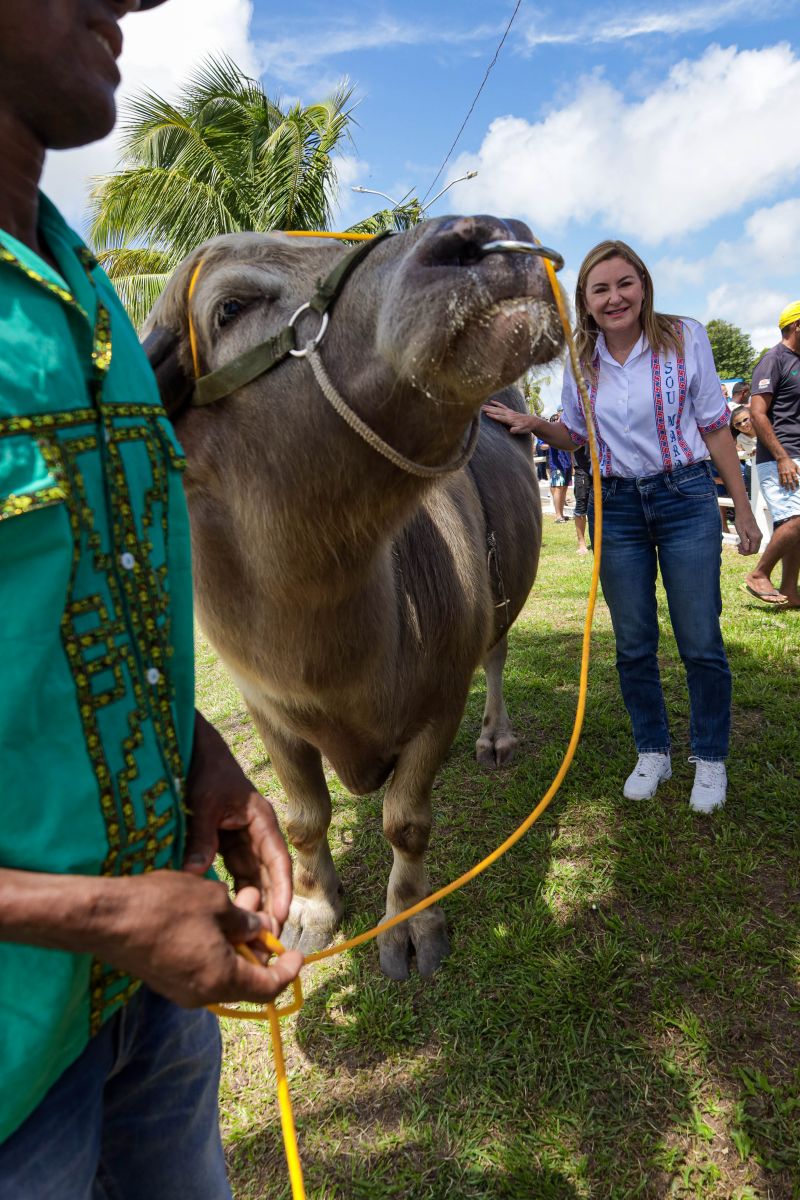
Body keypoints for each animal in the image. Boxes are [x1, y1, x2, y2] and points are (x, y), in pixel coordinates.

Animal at [145, 216, 563, 979]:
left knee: (496, 657)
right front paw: (313, 909)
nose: (493, 242)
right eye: (230, 308)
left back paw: (495, 736)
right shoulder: (268, 709)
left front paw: (409, 923)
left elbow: (407, 821)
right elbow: (304, 818)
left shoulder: (439, 703)